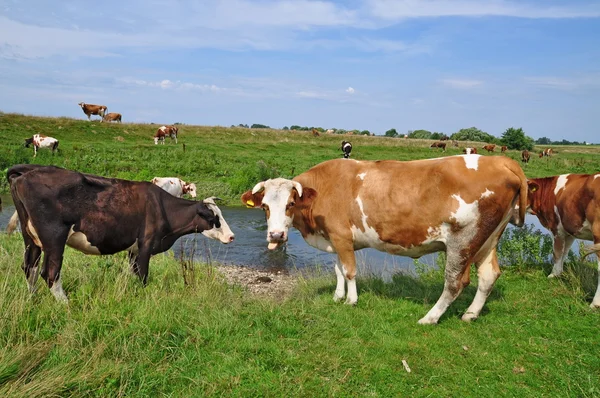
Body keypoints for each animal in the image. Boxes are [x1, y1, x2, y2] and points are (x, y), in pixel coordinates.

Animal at [8, 165, 237, 302]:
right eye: (213, 218)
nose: (232, 236)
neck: (163, 207)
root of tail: (29, 171)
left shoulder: (133, 249)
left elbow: (131, 274)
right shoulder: (146, 245)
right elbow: (143, 275)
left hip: (31, 239)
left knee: (29, 267)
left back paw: (32, 299)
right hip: (54, 237)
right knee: (50, 273)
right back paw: (66, 305)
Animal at [241, 155, 528, 324]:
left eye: (290, 204)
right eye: (264, 206)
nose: (275, 235)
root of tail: (500, 160)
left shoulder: (341, 236)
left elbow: (350, 271)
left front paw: (351, 300)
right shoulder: (336, 239)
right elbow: (338, 269)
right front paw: (337, 296)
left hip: (463, 240)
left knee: (456, 282)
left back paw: (430, 317)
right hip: (489, 239)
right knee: (489, 275)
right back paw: (470, 314)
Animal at [524, 173, 600, 306]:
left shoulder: (556, 229)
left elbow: (557, 253)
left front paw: (553, 274)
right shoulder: (570, 231)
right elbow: (564, 253)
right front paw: (560, 273)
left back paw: (595, 304)